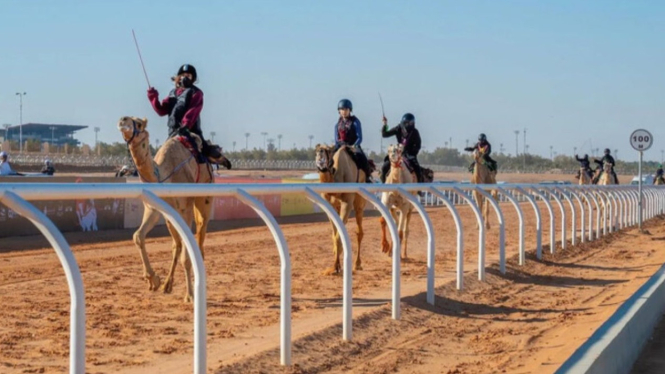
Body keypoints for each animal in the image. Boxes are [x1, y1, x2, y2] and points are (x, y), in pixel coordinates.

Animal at [116, 115, 214, 302]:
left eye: (139, 123)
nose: (122, 120)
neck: (164, 176)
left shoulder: (185, 209)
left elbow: (187, 253)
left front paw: (189, 295)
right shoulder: (154, 209)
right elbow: (138, 236)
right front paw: (153, 280)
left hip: (204, 194)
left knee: (200, 233)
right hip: (171, 216)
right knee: (177, 245)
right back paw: (167, 285)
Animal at [314, 143, 366, 274]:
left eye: (328, 150)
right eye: (316, 151)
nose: (320, 152)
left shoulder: (347, 202)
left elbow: (339, 235)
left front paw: (336, 266)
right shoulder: (330, 204)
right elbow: (335, 234)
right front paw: (336, 262)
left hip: (359, 202)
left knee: (359, 231)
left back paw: (357, 263)